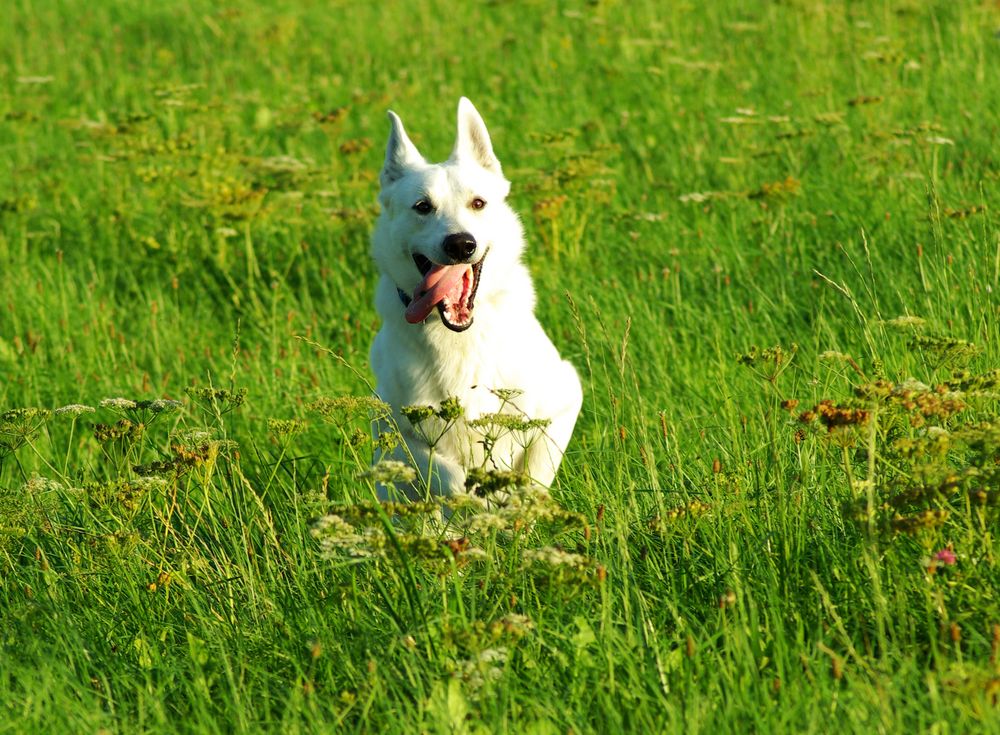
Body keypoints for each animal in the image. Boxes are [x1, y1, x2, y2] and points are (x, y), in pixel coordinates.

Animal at [372, 98, 584, 500]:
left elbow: (535, 471)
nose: (460, 244)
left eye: (478, 203)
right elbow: (443, 471)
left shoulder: (565, 397)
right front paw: (474, 496)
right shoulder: (395, 428)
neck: (458, 334)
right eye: (422, 207)